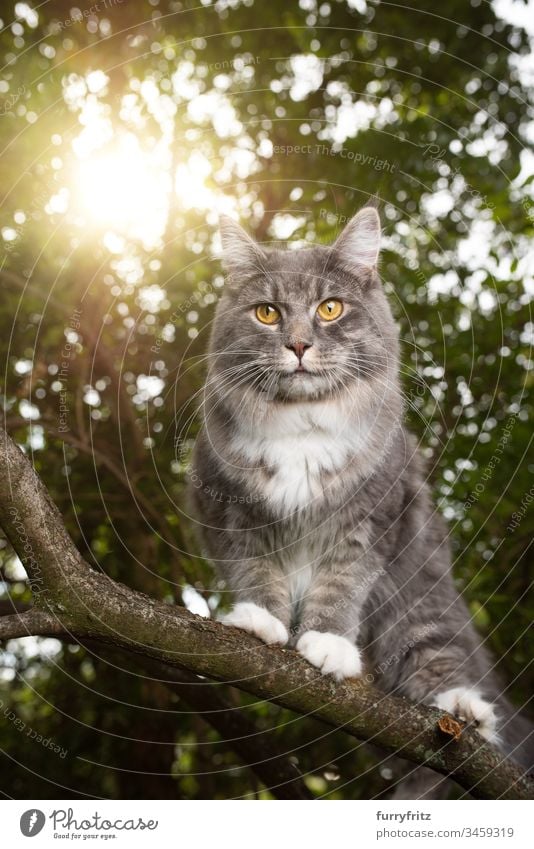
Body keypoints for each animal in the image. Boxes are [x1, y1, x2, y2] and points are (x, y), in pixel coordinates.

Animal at [191, 205, 532, 796]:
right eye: (267, 313)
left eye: (330, 308)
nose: (298, 345)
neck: (301, 428)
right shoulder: (231, 513)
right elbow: (257, 572)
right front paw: (260, 623)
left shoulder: (369, 521)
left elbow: (339, 587)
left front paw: (326, 644)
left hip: (419, 596)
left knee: (442, 654)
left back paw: (465, 712)